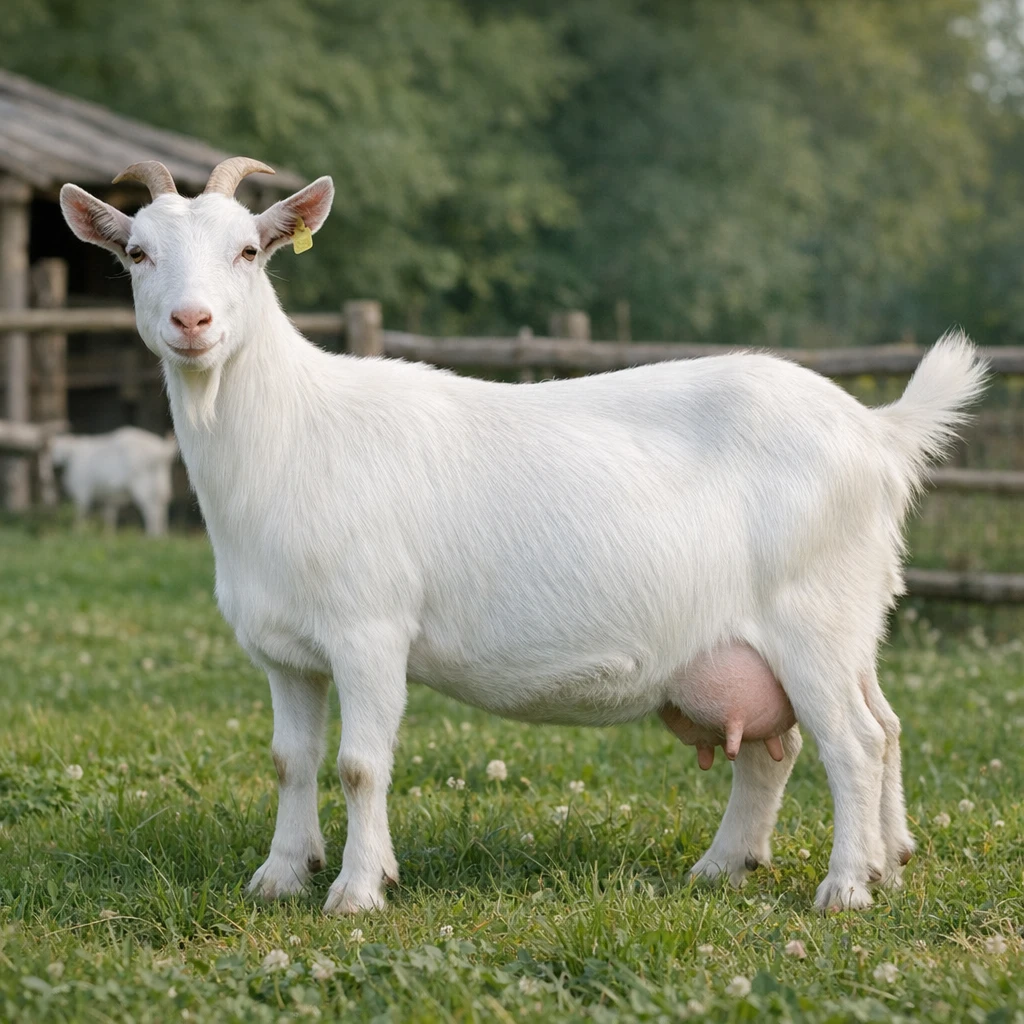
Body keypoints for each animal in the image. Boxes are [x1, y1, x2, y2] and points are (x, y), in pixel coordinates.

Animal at [61, 158, 986, 914]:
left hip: (814, 618)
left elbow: (361, 764)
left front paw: (358, 892)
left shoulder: (369, 630)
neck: (288, 433)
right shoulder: (284, 651)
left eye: (250, 251)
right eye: (136, 254)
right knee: (833, 736)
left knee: (854, 743)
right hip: (831, 624)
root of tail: (878, 432)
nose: (192, 323)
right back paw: (799, 864)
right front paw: (281, 876)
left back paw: (846, 887)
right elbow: (291, 760)